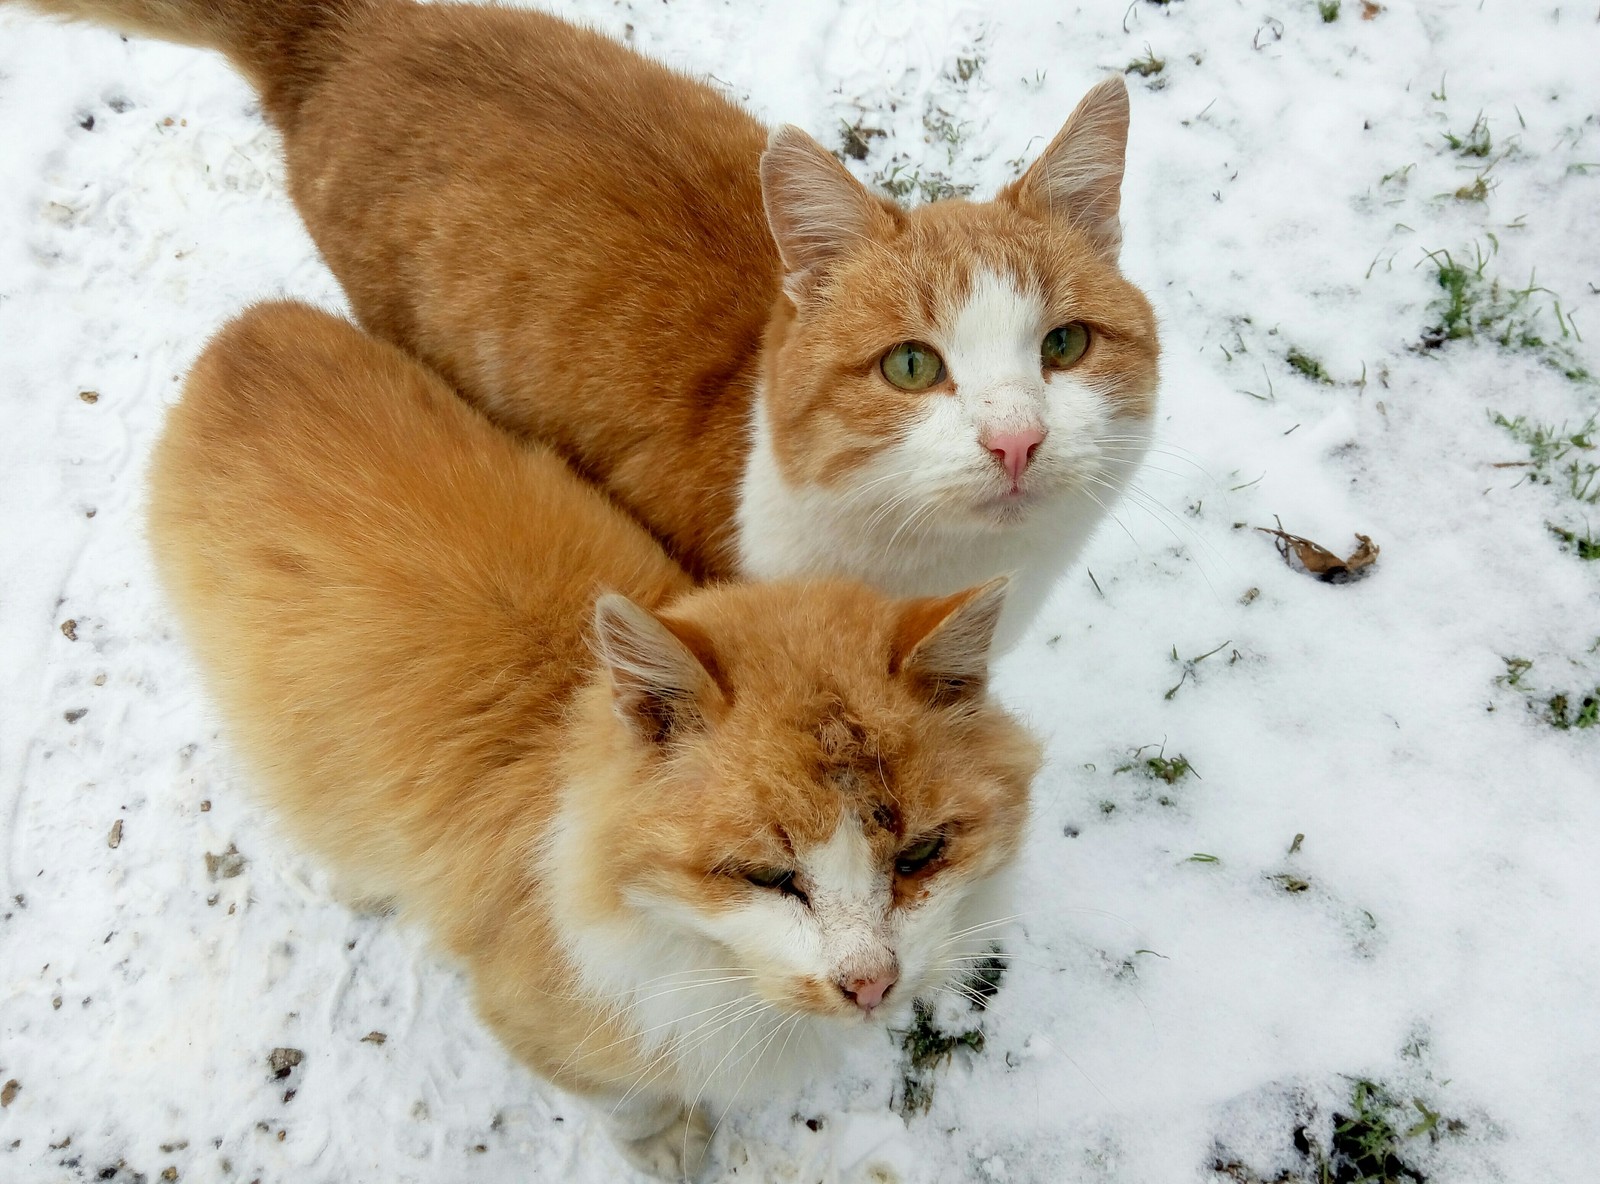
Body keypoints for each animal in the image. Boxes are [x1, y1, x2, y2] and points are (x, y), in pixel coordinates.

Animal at [150, 300, 1043, 1177]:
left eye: (922, 853)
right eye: (765, 875)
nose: (870, 987)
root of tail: (246, 329)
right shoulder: (543, 1020)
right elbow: (632, 1101)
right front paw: (669, 1148)